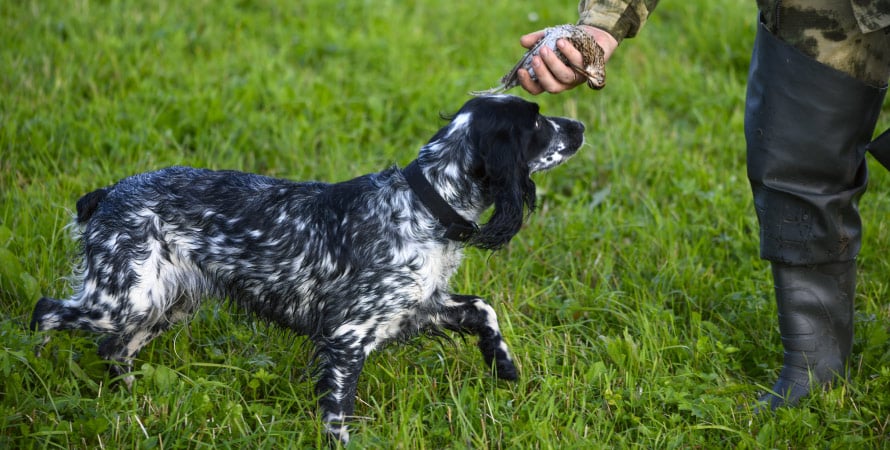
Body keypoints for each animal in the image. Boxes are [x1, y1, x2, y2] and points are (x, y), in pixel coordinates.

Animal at [31, 94, 584, 442]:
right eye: (538, 122)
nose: (579, 126)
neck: (423, 204)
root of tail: (108, 195)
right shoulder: (347, 338)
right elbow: (339, 415)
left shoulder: (418, 307)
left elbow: (483, 309)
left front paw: (503, 364)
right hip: (121, 298)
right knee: (45, 313)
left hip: (160, 304)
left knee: (113, 349)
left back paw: (131, 401)